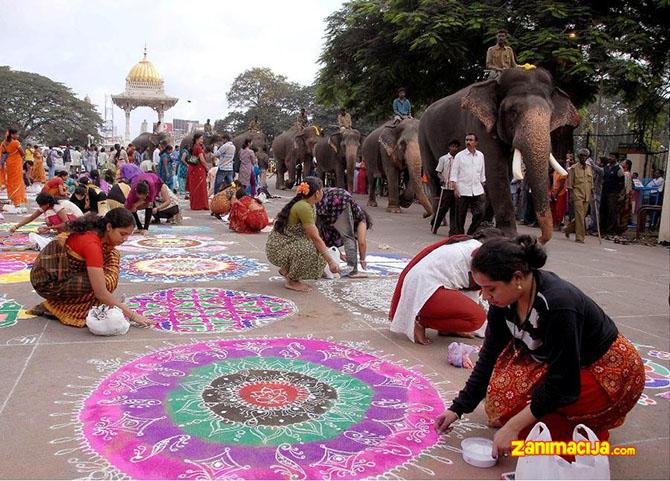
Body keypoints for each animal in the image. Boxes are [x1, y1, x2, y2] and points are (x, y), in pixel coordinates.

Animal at [422, 65, 580, 242]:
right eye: (513, 112)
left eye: (551, 114)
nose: (538, 238)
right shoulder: (480, 125)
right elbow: (495, 169)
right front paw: (509, 235)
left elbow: (504, 172)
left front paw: (486, 228)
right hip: (423, 137)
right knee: (435, 178)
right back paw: (438, 223)